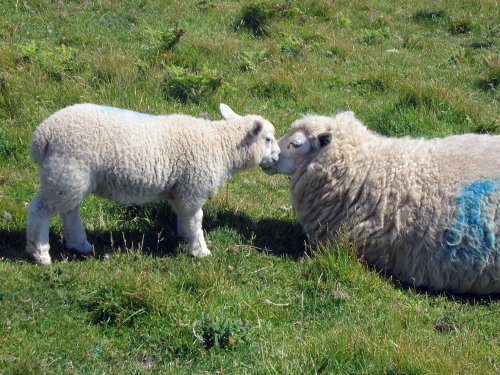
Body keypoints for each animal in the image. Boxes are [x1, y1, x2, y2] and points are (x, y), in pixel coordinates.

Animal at [26, 104, 282, 266]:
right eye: (268, 139)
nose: (279, 156)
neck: (220, 146)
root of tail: (42, 135)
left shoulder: (180, 190)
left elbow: (185, 218)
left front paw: (184, 235)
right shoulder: (193, 188)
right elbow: (196, 220)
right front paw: (200, 250)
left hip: (70, 176)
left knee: (69, 210)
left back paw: (78, 243)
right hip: (67, 171)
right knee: (40, 209)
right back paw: (40, 253)